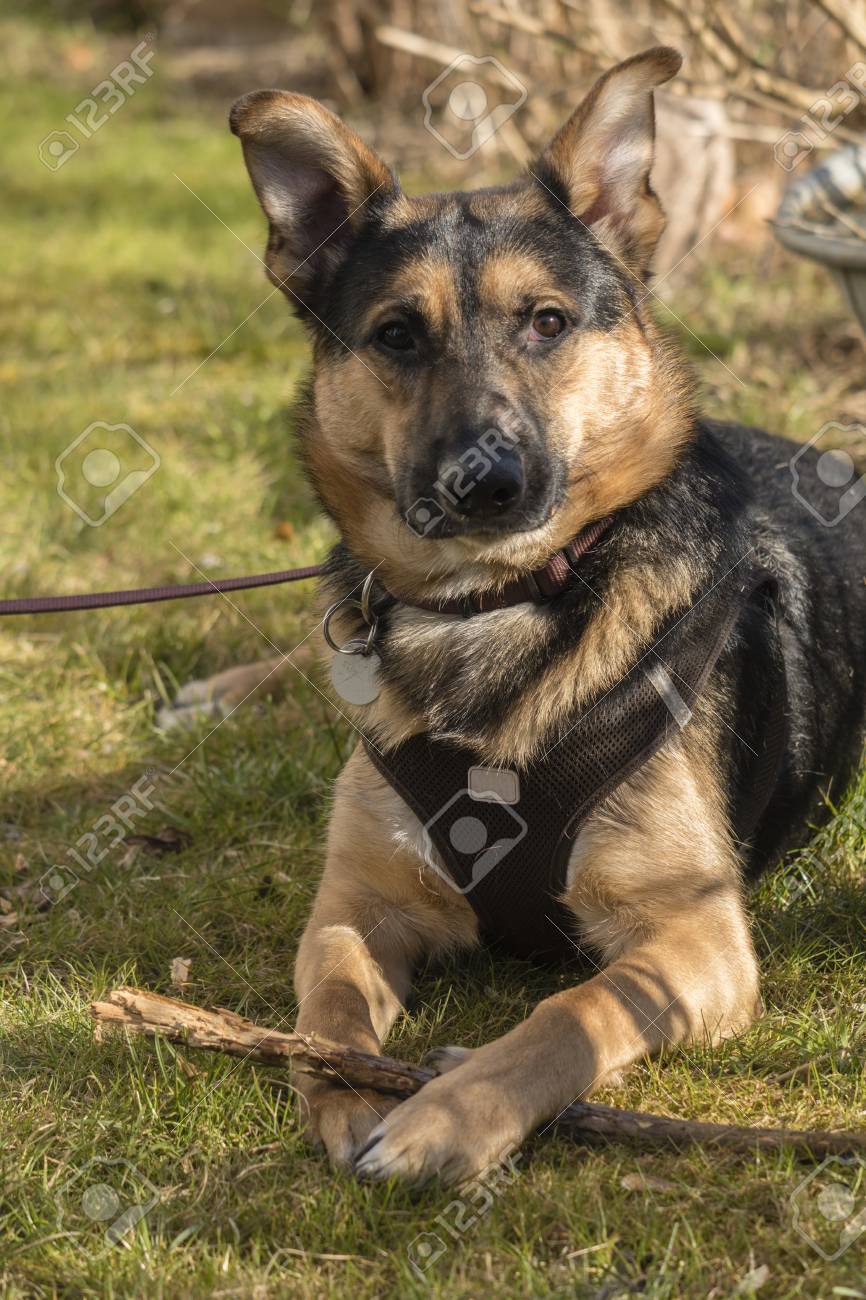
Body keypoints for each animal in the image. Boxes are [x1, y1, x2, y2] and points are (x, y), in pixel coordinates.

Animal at [175, 48, 863, 1190]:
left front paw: (452, 1113)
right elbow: (327, 999)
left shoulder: (696, 938)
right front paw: (346, 1083)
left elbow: (572, 1009)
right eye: (396, 335)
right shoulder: (354, 904)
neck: (498, 604)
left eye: (546, 321)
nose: (482, 482)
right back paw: (220, 692)